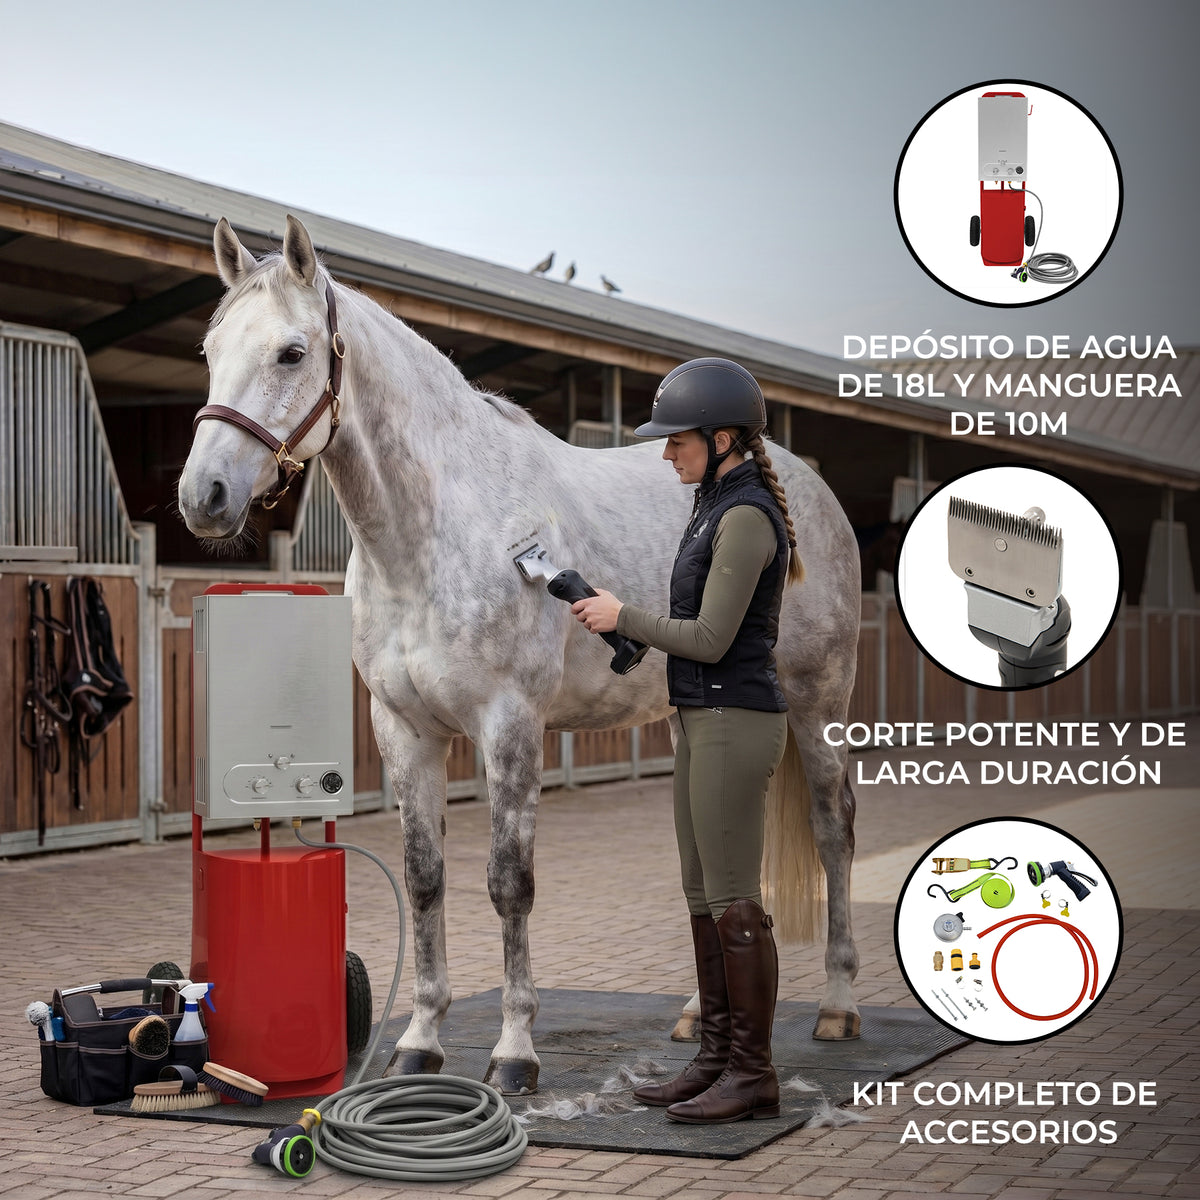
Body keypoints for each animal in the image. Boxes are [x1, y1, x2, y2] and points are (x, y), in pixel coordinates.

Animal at [178, 215, 863, 1095]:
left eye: (292, 353)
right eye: (209, 348)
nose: (203, 498)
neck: (436, 528)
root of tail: (807, 488)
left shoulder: (509, 725)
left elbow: (509, 885)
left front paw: (513, 1054)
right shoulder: (404, 729)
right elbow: (425, 880)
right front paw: (420, 1041)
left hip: (816, 704)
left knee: (833, 827)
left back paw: (838, 1005)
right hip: (694, 720)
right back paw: (690, 1015)